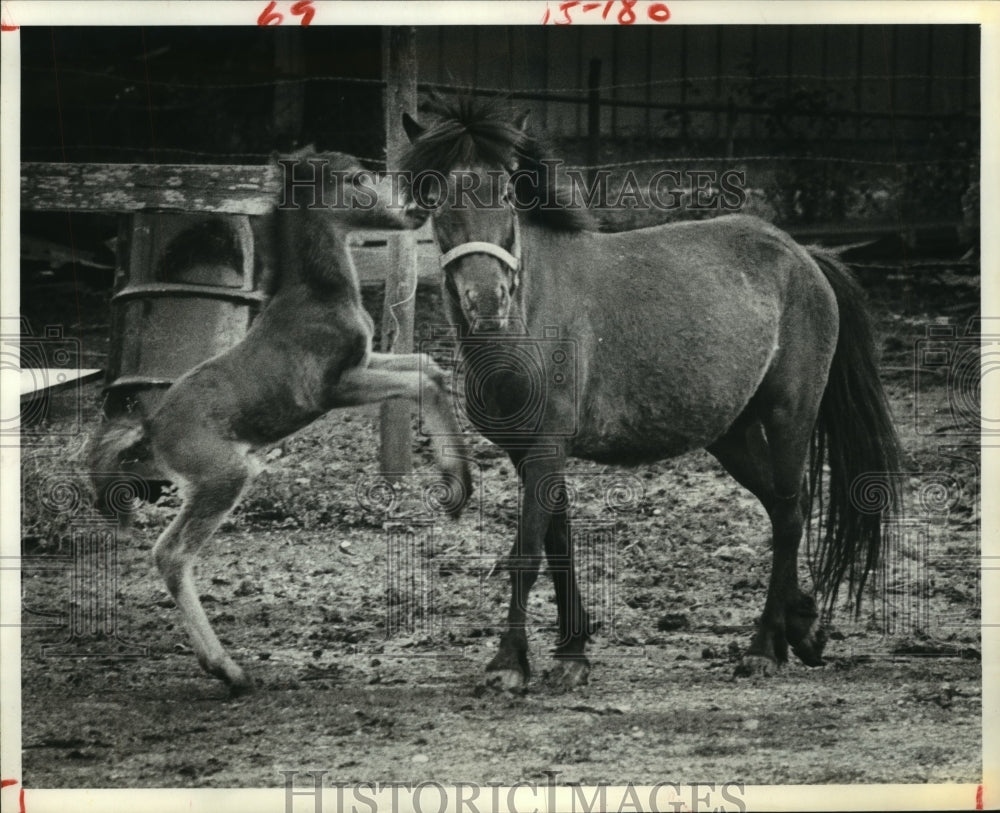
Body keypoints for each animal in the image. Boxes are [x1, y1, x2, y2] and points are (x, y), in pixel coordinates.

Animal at [90, 151, 472, 692]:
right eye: (357, 179)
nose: (419, 208)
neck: (318, 297)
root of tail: (151, 427)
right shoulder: (331, 388)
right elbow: (422, 380)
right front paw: (455, 483)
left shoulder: (364, 362)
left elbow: (429, 368)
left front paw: (458, 487)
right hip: (224, 475)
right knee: (170, 553)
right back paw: (228, 670)